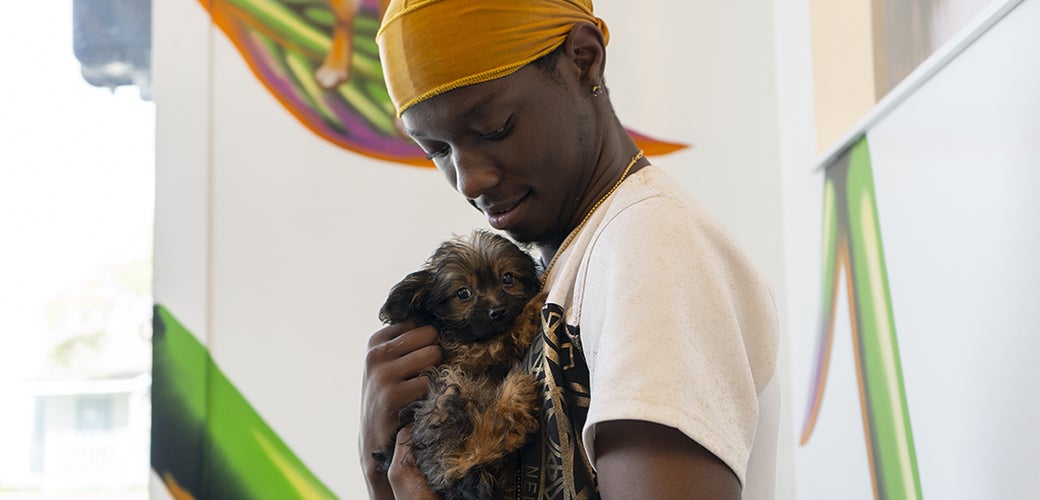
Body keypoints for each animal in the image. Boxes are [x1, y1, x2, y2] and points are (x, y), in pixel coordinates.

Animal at [375, 230, 546, 500]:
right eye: (463, 293)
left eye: (508, 278)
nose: (498, 311)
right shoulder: (464, 356)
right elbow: (502, 341)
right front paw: (530, 311)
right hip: (445, 393)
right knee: (458, 463)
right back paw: (515, 395)